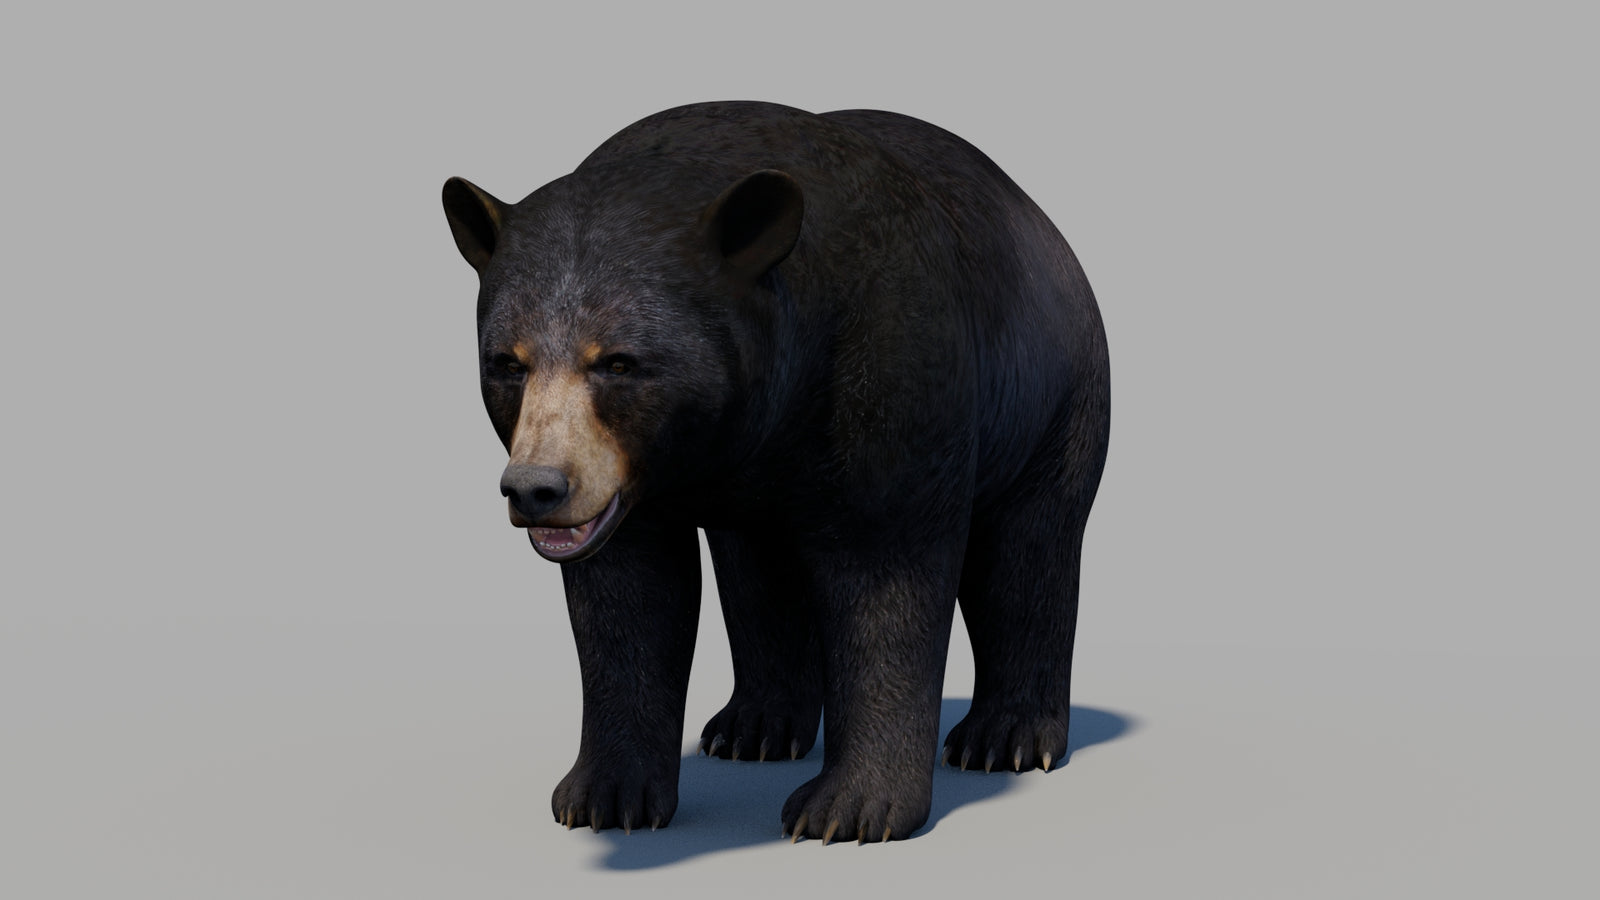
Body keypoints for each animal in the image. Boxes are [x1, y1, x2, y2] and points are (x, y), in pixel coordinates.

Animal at [441, 101, 1109, 843]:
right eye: (508, 362)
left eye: (618, 361)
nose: (536, 487)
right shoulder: (634, 484)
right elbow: (628, 597)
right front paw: (605, 797)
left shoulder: (891, 375)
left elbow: (887, 579)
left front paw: (849, 808)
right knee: (758, 571)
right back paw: (754, 727)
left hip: (1052, 396)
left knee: (1028, 551)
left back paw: (1005, 738)